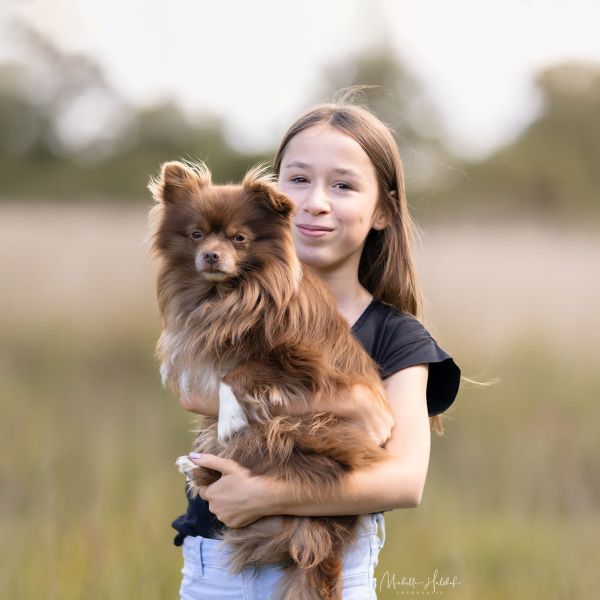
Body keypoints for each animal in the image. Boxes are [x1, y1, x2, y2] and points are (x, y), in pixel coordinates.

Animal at [147, 159, 394, 600]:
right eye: (196, 234)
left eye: (239, 238)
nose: (211, 254)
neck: (230, 292)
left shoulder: (301, 361)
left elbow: (237, 373)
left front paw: (230, 418)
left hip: (303, 431)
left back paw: (203, 466)